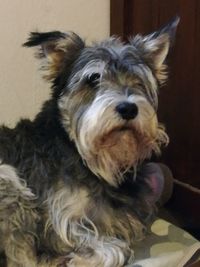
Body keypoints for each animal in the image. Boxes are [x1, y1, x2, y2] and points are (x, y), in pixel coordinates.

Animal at [0, 16, 179, 267]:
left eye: (138, 81)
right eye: (93, 78)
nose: (128, 108)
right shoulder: (58, 223)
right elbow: (115, 249)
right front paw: (75, 259)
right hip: (9, 180)